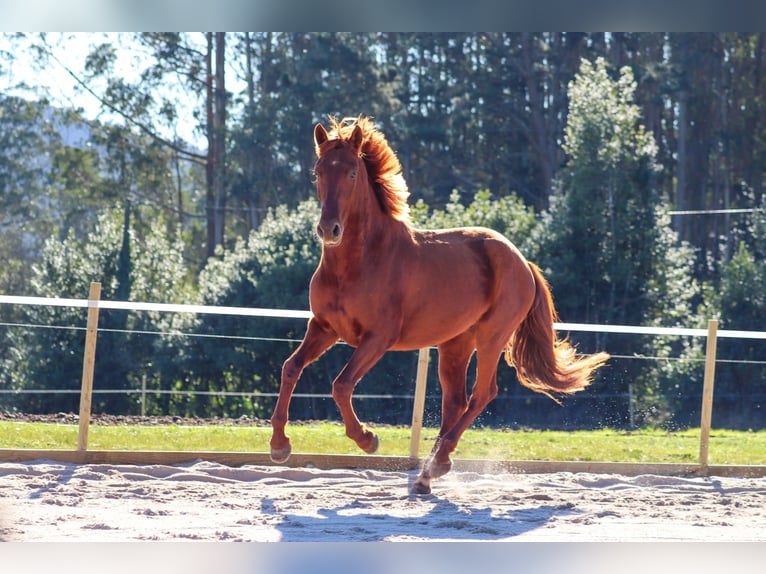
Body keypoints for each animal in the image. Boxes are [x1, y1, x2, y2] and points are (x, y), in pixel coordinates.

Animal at [272, 117, 612, 496]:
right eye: (318, 172)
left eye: (351, 173)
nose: (328, 229)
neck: (358, 263)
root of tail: (522, 261)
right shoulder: (324, 328)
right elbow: (291, 368)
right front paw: (279, 446)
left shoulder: (378, 339)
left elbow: (341, 385)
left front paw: (367, 439)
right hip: (454, 344)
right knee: (456, 401)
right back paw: (431, 470)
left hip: (492, 337)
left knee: (482, 394)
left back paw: (433, 466)